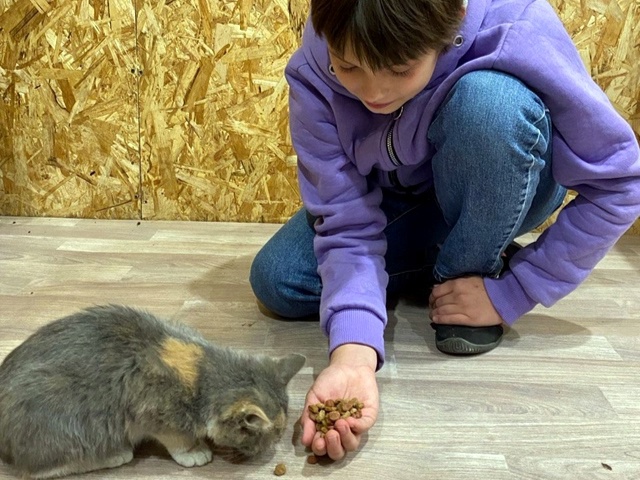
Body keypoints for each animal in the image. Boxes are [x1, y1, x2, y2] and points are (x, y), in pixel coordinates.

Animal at [0, 306, 304, 478]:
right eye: (269, 436)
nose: (268, 451)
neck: (202, 377)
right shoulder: (154, 412)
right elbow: (178, 438)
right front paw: (195, 451)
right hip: (73, 421)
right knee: (37, 469)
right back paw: (114, 455)